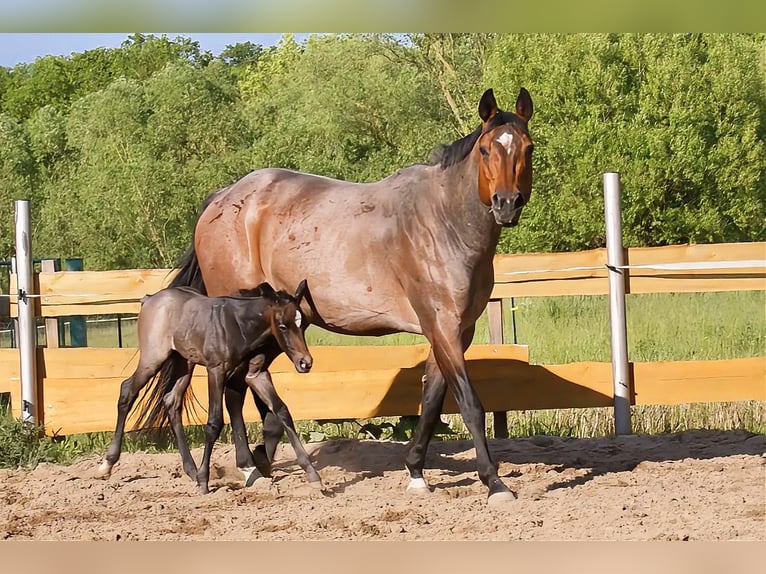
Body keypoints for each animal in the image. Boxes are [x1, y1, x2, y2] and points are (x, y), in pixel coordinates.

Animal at [97, 280, 323, 494]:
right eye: (282, 325)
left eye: (302, 324)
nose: (305, 362)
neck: (239, 325)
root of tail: (149, 299)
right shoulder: (216, 371)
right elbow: (214, 422)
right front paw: (204, 482)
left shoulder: (255, 374)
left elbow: (281, 411)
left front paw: (313, 475)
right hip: (153, 358)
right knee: (127, 390)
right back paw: (107, 465)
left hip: (183, 362)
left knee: (171, 401)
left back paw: (191, 470)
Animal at [163, 87, 534, 506]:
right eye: (486, 149)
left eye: (528, 148)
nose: (507, 203)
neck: (442, 223)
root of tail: (221, 198)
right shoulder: (443, 327)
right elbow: (470, 404)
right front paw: (495, 483)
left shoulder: (455, 332)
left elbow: (431, 398)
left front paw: (416, 472)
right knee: (234, 389)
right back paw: (248, 468)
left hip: (278, 323)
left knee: (253, 383)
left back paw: (261, 461)